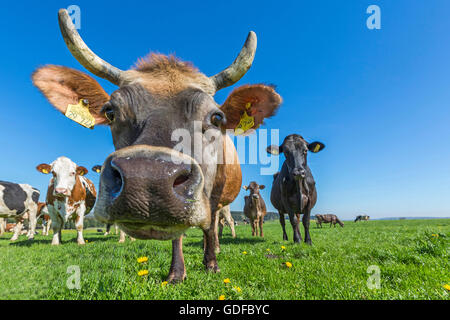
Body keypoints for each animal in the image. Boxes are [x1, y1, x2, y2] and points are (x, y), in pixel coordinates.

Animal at [31, 8, 282, 282]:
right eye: (110, 112)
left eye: (216, 118)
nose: (147, 180)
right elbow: (177, 234)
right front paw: (177, 272)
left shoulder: (214, 192)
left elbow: (208, 225)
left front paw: (211, 264)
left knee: (214, 222)